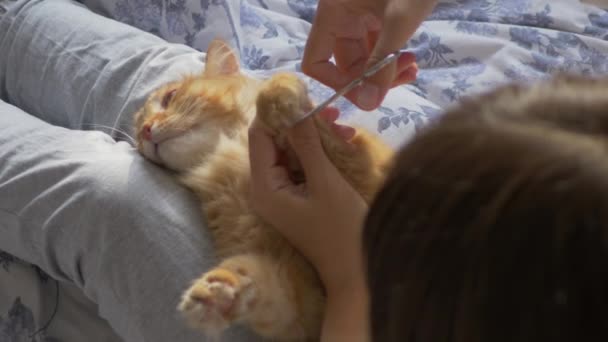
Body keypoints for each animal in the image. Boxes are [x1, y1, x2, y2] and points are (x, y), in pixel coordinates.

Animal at [133, 39, 394, 340]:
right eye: (137, 135)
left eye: (170, 97)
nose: (146, 131)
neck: (228, 158)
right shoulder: (303, 306)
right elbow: (257, 281)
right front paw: (218, 292)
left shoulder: (368, 173)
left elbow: (331, 140)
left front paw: (284, 95)